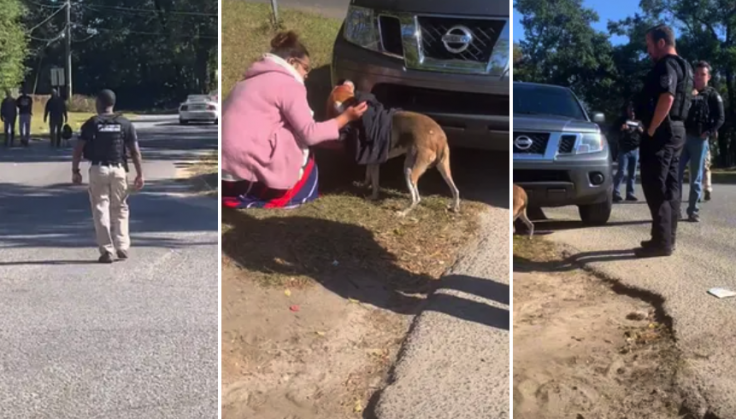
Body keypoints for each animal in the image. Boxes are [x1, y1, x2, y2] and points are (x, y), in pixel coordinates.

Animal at [324, 80, 458, 217]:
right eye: (342, 87)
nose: (347, 81)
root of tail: (439, 138)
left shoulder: (375, 161)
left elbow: (375, 183)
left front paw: (373, 196)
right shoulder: (371, 159)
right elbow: (368, 175)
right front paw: (365, 185)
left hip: (409, 171)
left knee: (416, 198)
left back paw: (403, 212)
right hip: (443, 168)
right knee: (455, 190)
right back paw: (454, 207)